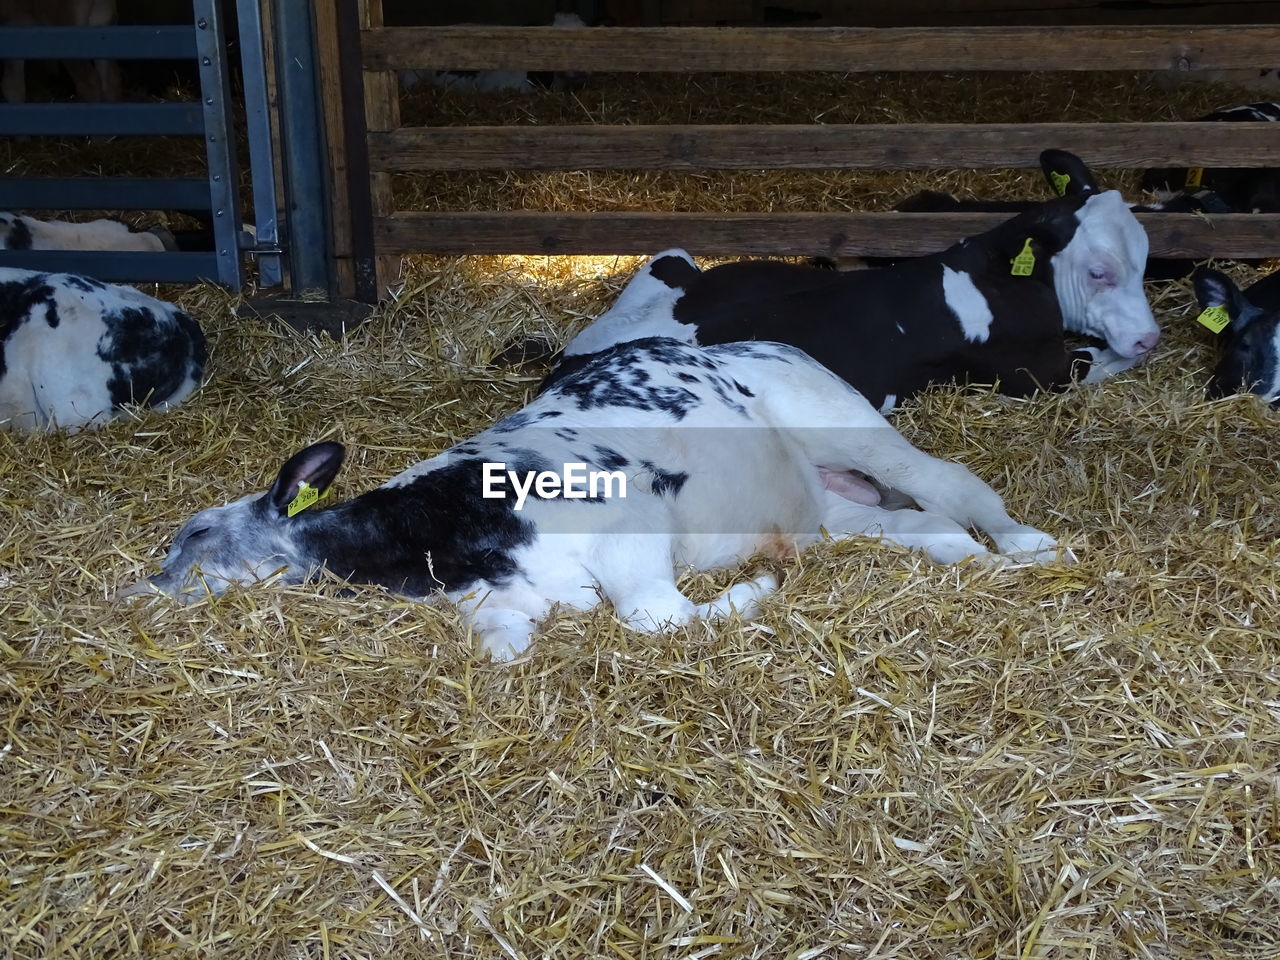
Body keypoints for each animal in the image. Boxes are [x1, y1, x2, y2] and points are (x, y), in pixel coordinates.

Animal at [120, 337, 1059, 660]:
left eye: (192, 535)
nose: (135, 591)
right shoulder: (509, 606)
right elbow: (506, 649)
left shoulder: (633, 525)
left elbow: (657, 619)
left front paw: (754, 594)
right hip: (826, 506)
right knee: (924, 522)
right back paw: (965, 557)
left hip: (844, 423)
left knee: (950, 482)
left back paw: (1025, 545)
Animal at [540, 150, 1162, 414]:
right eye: (1099, 272)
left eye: (1146, 258)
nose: (1149, 337)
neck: (990, 273)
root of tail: (568, 360)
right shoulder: (1039, 372)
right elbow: (1106, 361)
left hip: (673, 258)